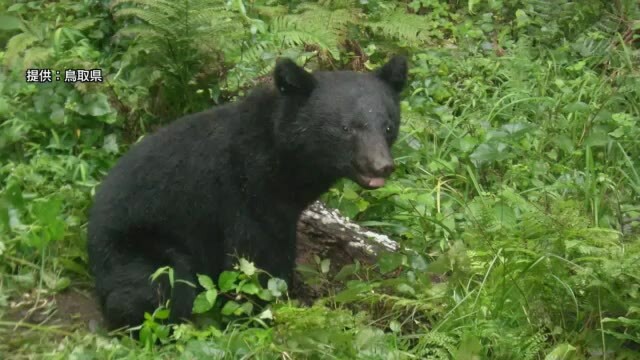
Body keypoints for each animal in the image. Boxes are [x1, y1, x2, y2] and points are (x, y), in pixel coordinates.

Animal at [87, 56, 408, 330]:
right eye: (346, 128)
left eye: (388, 126)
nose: (381, 165)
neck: (283, 159)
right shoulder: (244, 193)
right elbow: (254, 256)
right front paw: (268, 308)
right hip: (135, 249)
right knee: (162, 287)